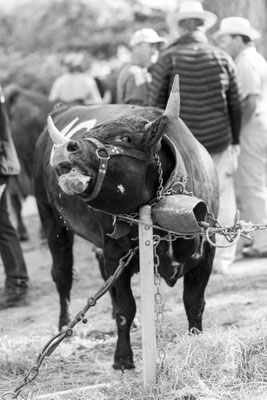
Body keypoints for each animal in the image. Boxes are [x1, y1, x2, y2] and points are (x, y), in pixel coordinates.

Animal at [34, 79, 221, 372]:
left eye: (126, 138)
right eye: (92, 131)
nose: (66, 147)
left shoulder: (206, 253)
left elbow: (194, 302)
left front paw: (196, 341)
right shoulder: (116, 254)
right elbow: (126, 308)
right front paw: (122, 358)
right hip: (50, 217)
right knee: (62, 273)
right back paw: (64, 326)